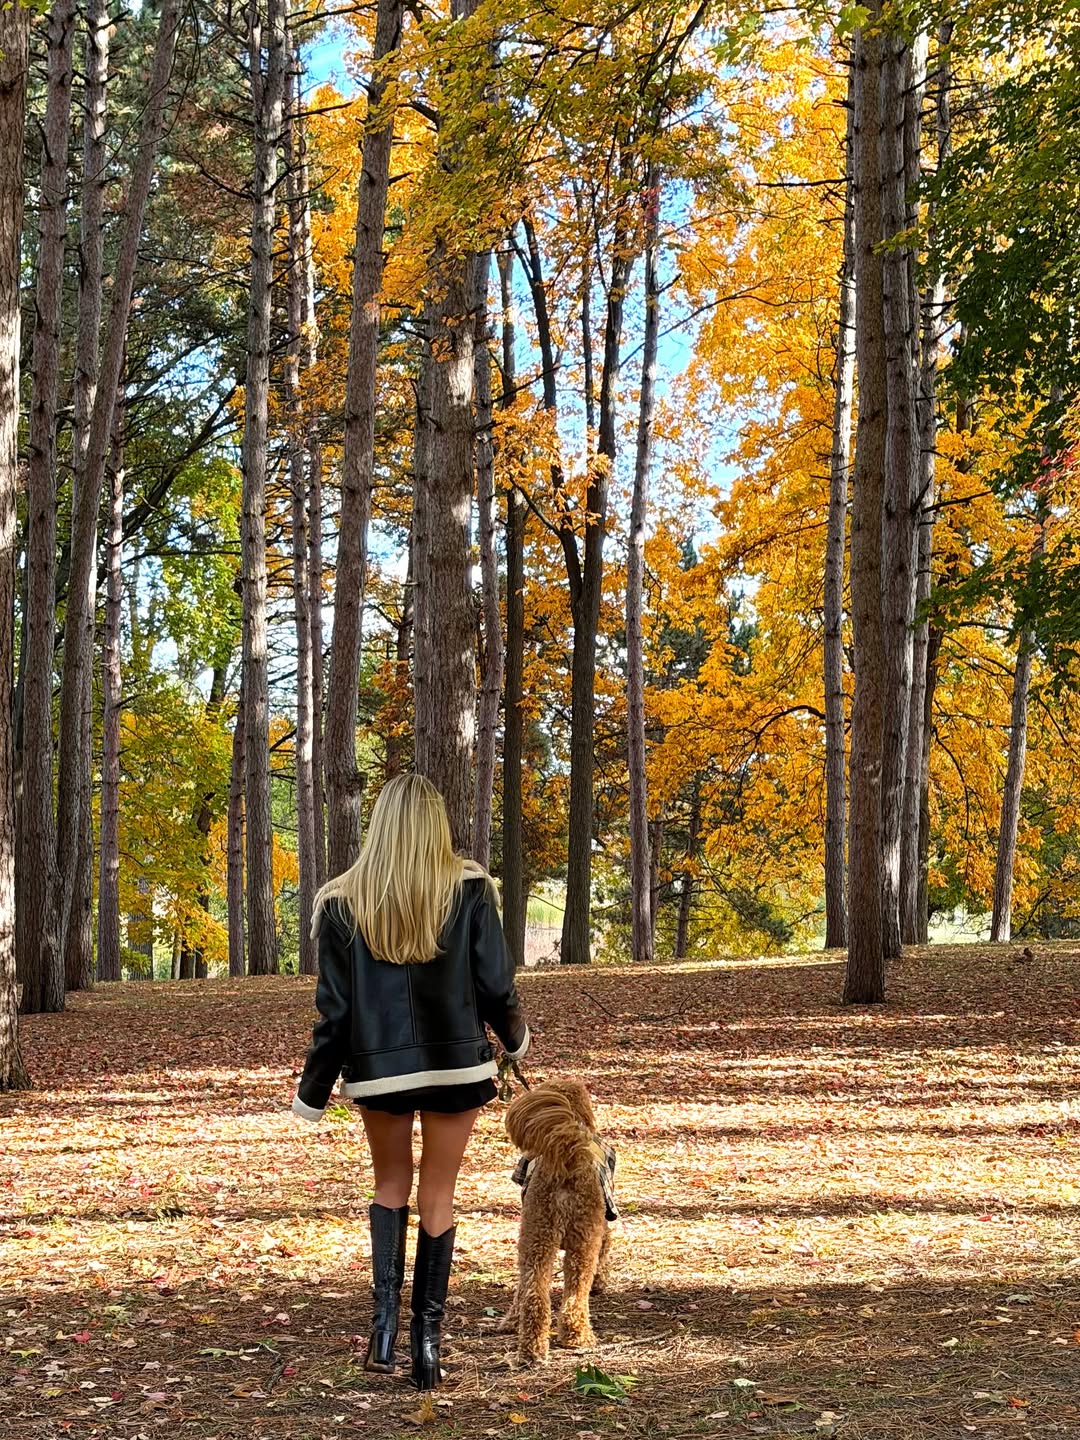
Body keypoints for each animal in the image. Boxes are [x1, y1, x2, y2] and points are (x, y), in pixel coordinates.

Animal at [501, 1076, 616, 1364]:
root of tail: (568, 1158)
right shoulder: (602, 1229)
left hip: (538, 1238)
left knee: (533, 1295)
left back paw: (533, 1349)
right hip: (579, 1241)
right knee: (574, 1295)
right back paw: (578, 1337)